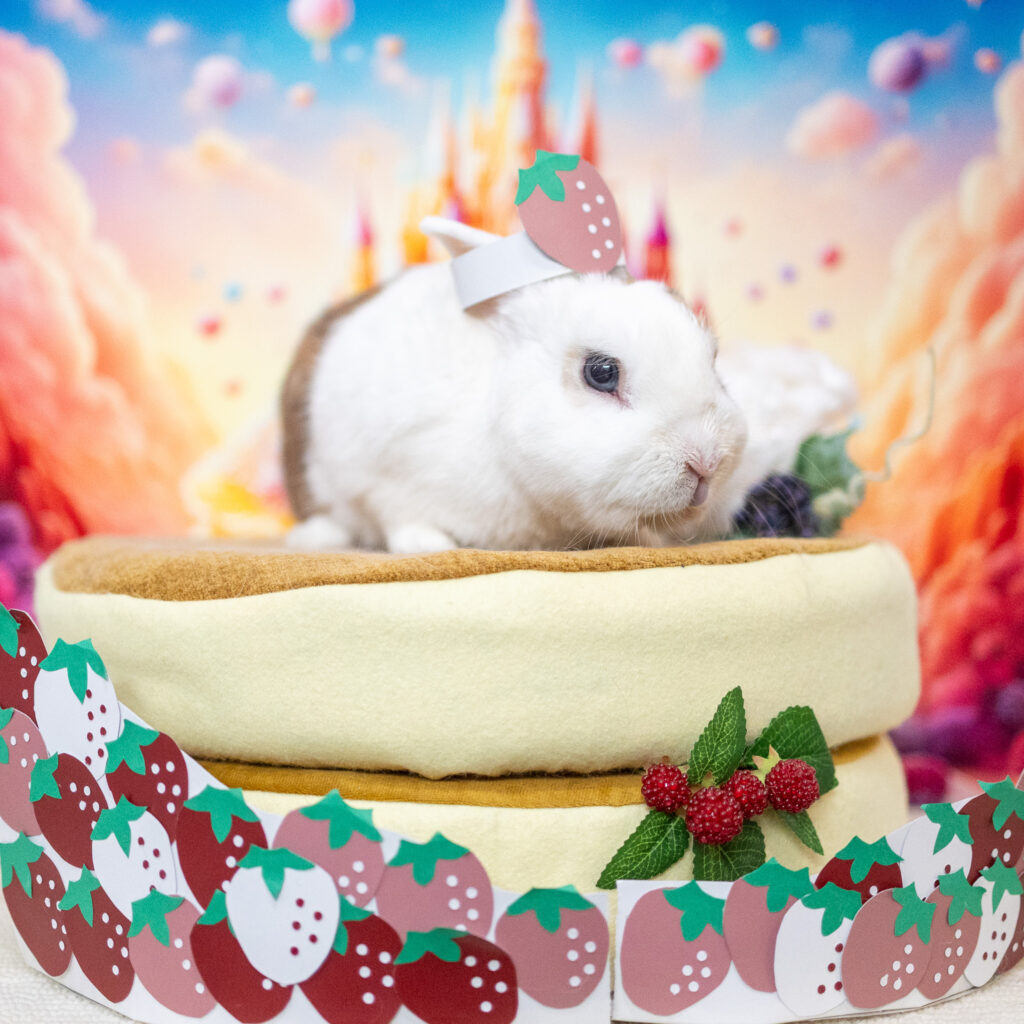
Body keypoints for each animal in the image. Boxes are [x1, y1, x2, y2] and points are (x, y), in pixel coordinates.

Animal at [281, 219, 750, 554]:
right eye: (601, 373)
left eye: (712, 357)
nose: (706, 460)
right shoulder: (385, 473)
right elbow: (399, 515)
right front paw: (430, 545)